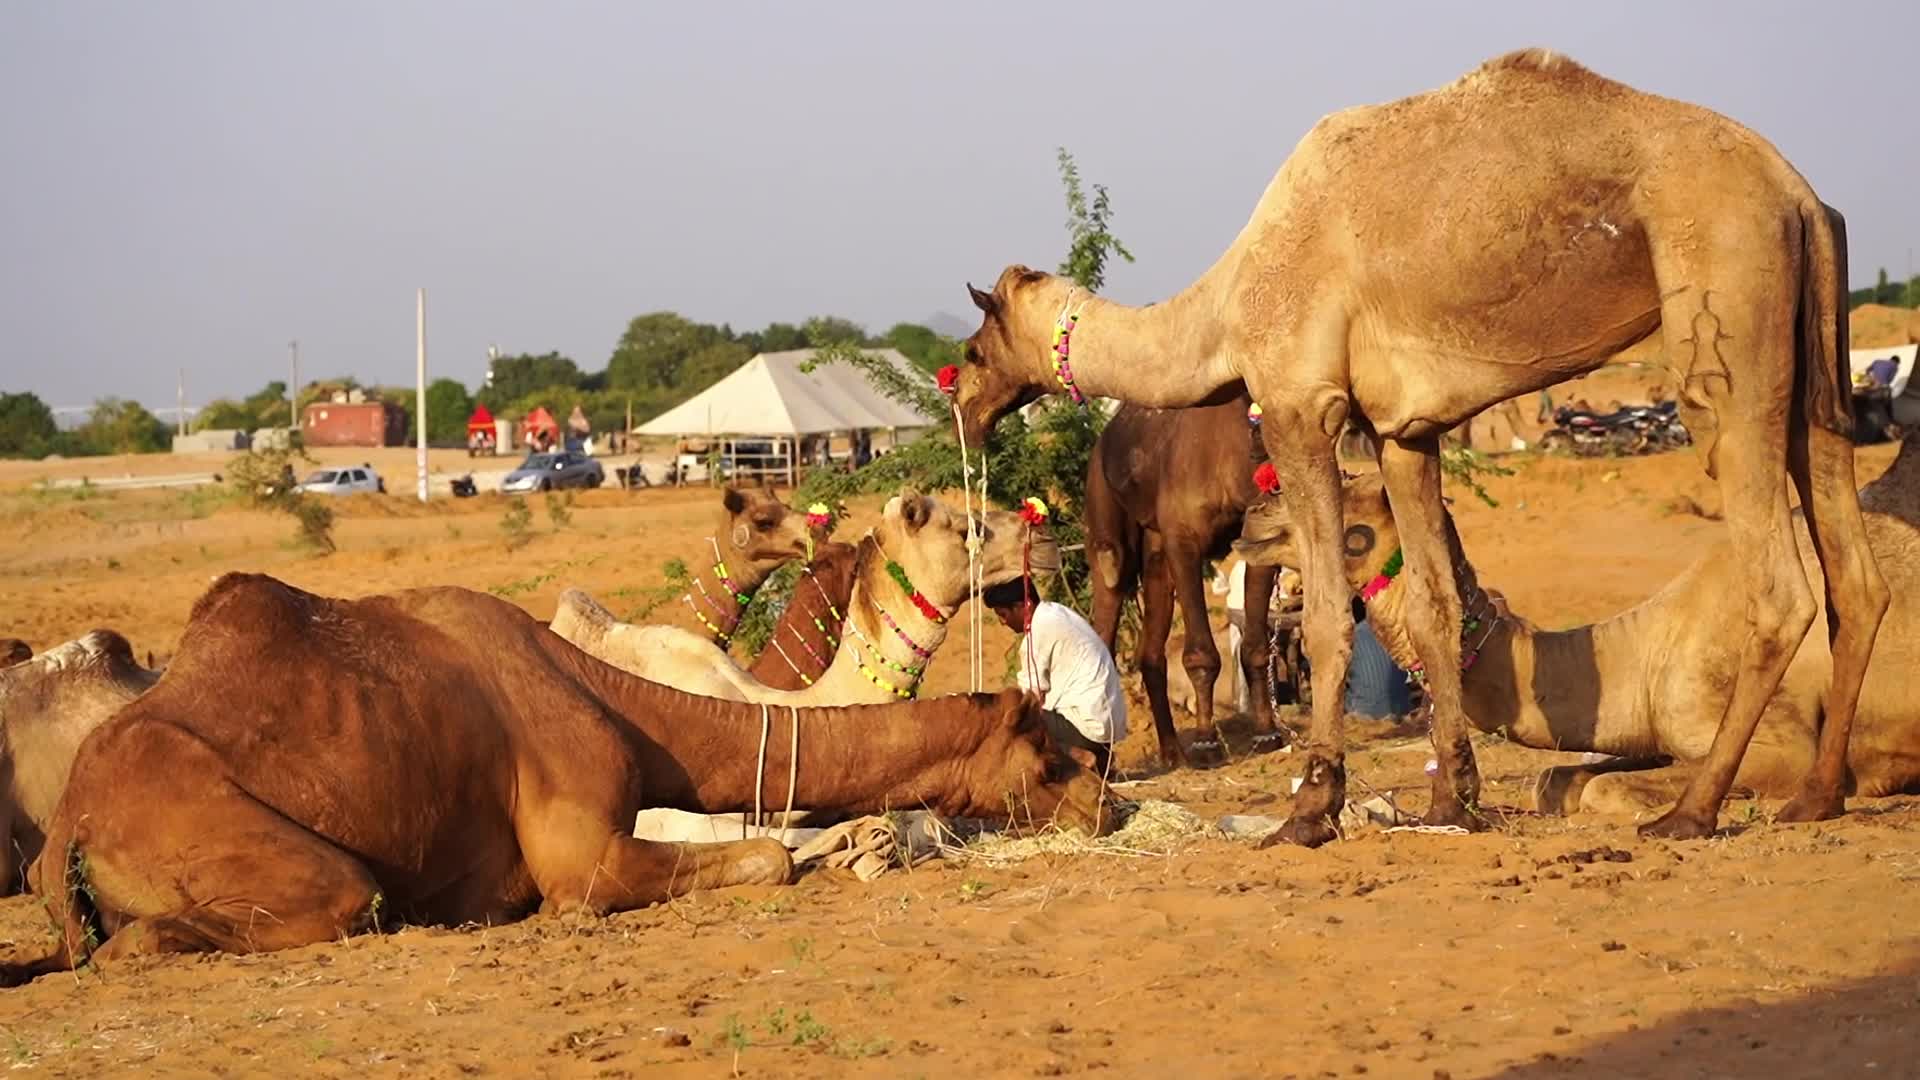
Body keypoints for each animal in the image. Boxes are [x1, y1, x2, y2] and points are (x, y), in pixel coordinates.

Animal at [1085, 392, 1283, 767]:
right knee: (1108, 591)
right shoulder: (1184, 541)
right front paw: (1206, 744)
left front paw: (1268, 734)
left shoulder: (1258, 538)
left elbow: (1255, 646)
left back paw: (1172, 752)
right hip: (1105, 523)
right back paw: (1103, 762)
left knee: (1150, 651)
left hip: (1156, 555)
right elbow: (1201, 656)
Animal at [1234, 448, 1920, 816]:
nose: (1250, 515)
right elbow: (1557, 779)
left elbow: (1601, 791)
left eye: (1348, 486)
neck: (1649, 645)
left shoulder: (1778, 741)